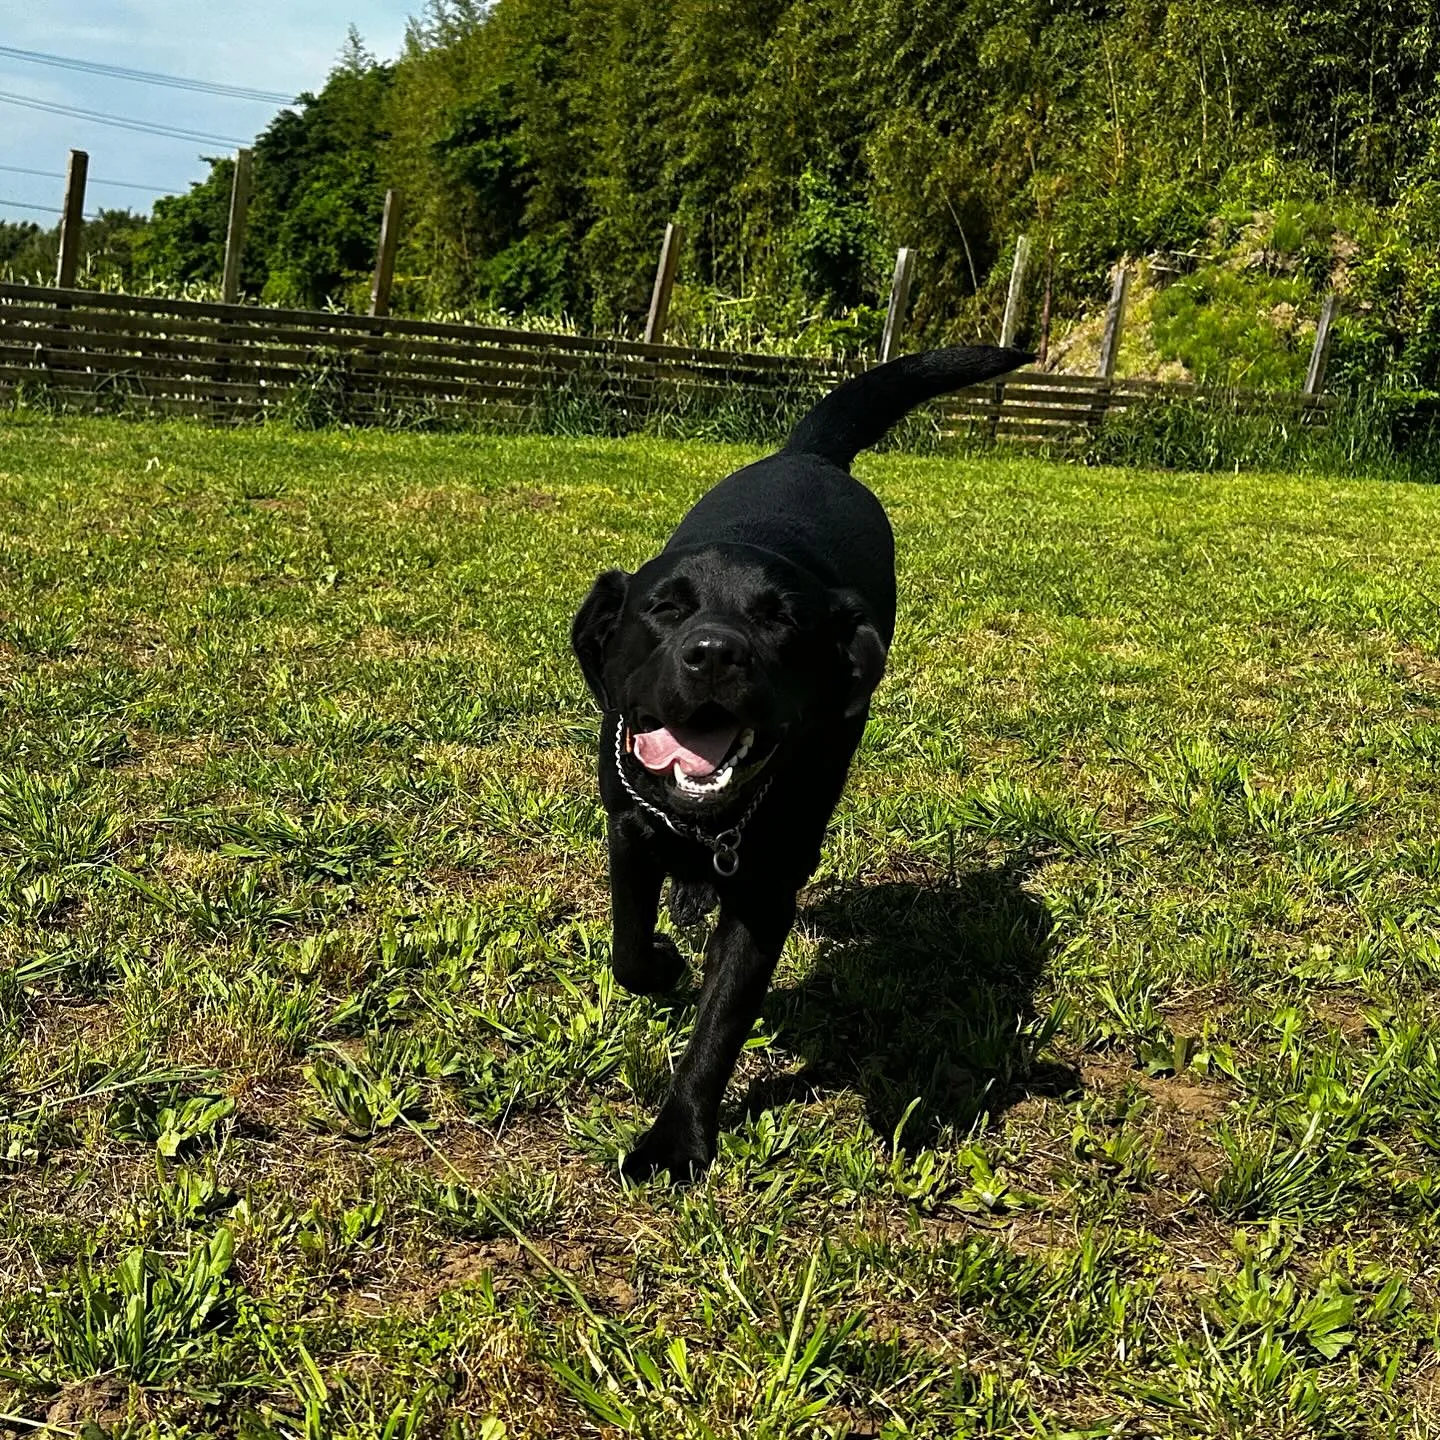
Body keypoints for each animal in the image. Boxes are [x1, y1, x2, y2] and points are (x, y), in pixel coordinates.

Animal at [567, 348, 1031, 1180]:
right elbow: (627, 946)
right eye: (665, 608)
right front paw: (663, 960)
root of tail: (808, 456)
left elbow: (719, 1025)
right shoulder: (628, 824)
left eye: (779, 617)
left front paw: (676, 1140)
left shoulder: (765, 893)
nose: (715, 653)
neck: (715, 821)